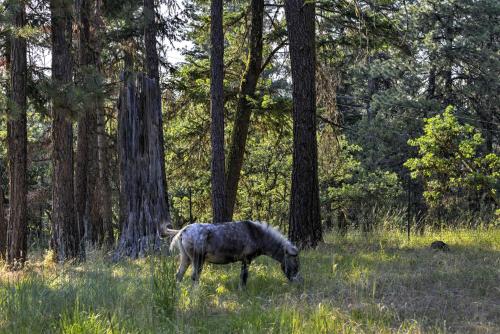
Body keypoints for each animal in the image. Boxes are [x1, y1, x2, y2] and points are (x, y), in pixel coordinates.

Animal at [163, 220, 300, 288]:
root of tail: (182, 231)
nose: (297, 283)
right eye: (295, 264)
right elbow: (244, 277)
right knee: (194, 277)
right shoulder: (246, 259)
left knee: (179, 275)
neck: (257, 234)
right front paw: (242, 290)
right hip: (197, 259)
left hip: (186, 258)